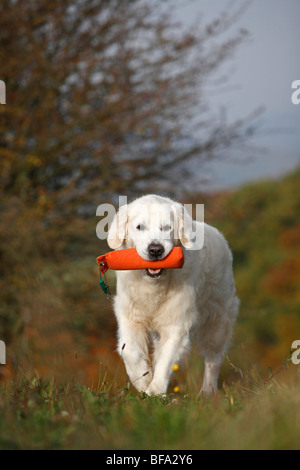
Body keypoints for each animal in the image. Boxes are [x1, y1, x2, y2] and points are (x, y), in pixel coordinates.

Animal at [107, 193, 239, 394]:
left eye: (167, 227)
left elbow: (166, 360)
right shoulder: (130, 317)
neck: (153, 285)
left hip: (219, 319)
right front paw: (143, 381)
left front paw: (154, 391)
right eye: (140, 227)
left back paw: (207, 392)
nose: (155, 249)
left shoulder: (177, 322)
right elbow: (130, 352)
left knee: (213, 359)